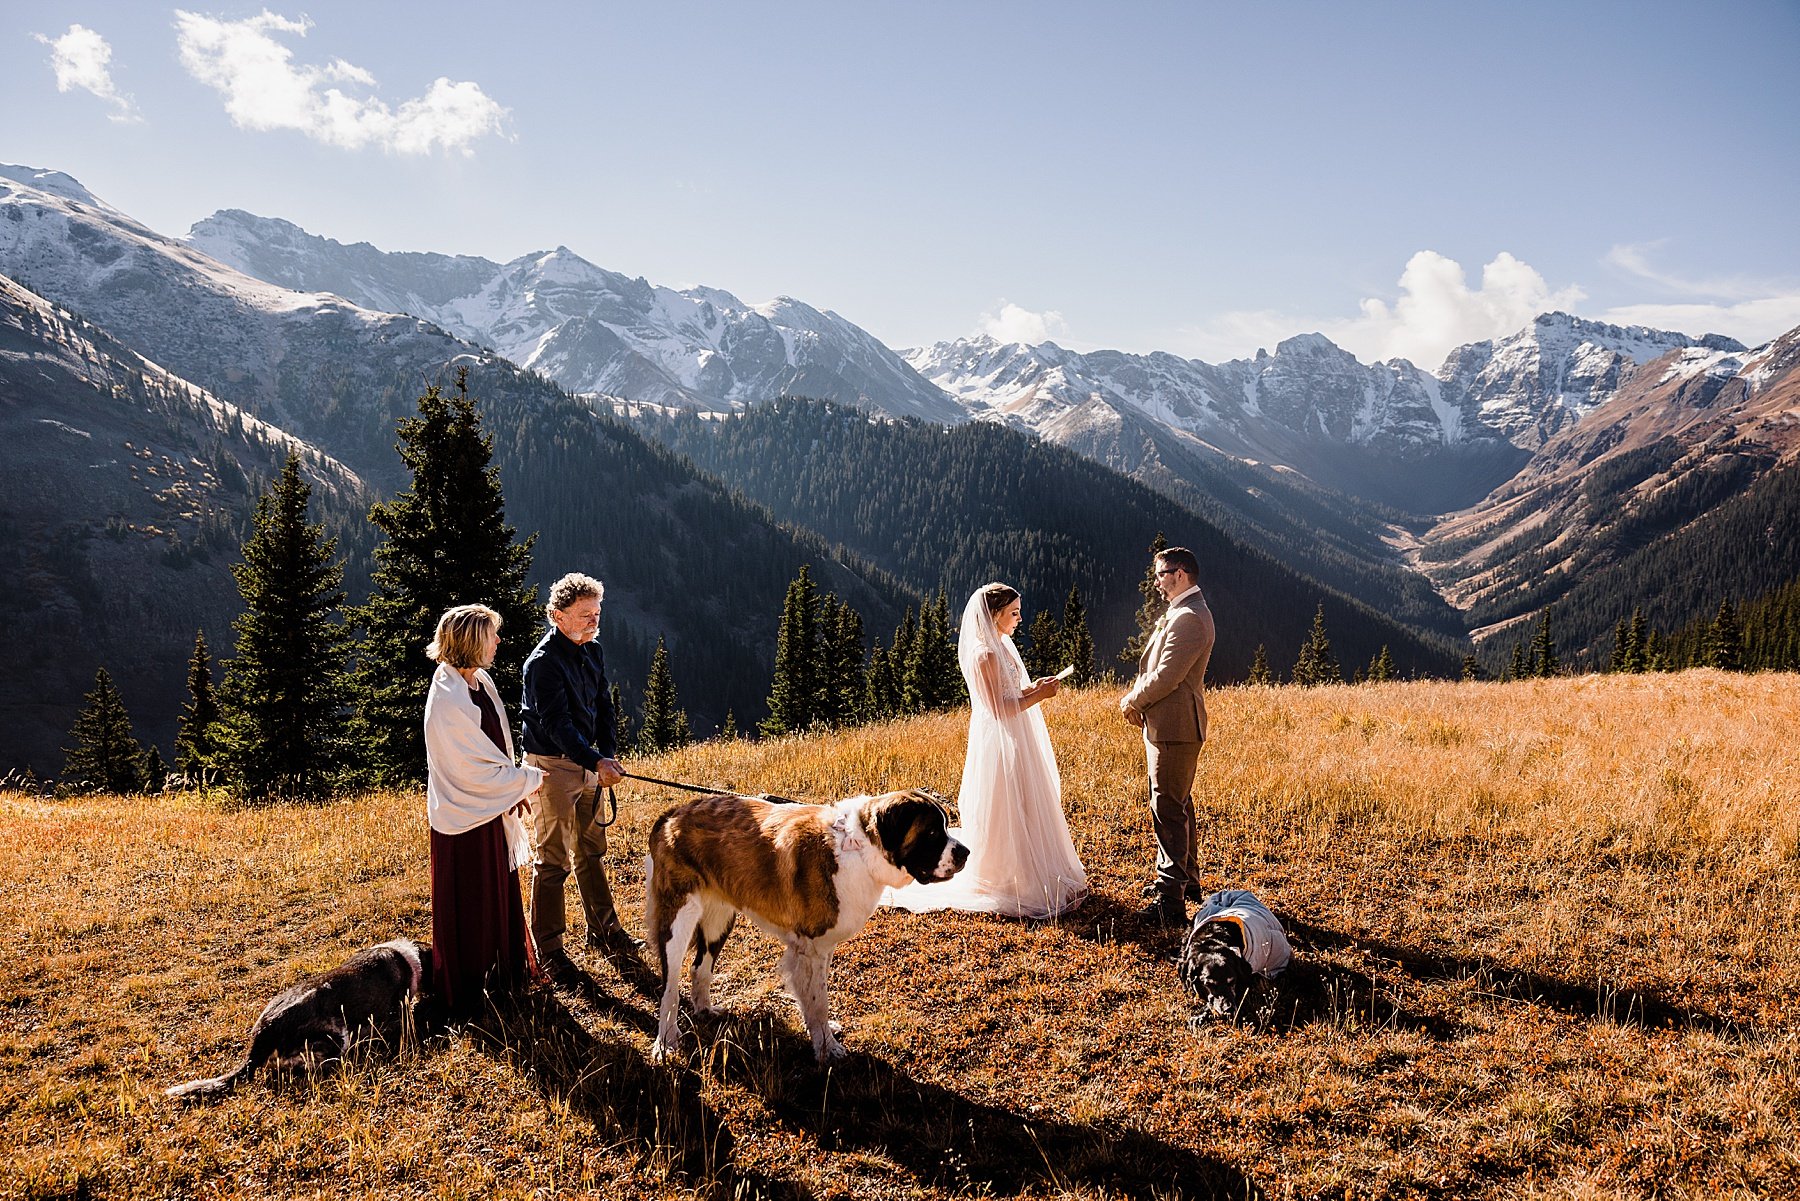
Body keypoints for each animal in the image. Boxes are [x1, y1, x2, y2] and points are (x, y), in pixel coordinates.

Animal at [640, 792, 964, 1065]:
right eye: (932, 833)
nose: (966, 853)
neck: (858, 849)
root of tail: (673, 813)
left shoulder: (820, 948)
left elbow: (813, 997)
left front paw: (821, 1033)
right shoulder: (812, 948)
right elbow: (818, 1001)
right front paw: (827, 1048)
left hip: (719, 917)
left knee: (700, 967)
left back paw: (705, 1009)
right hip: (678, 919)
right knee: (669, 988)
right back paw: (666, 1042)